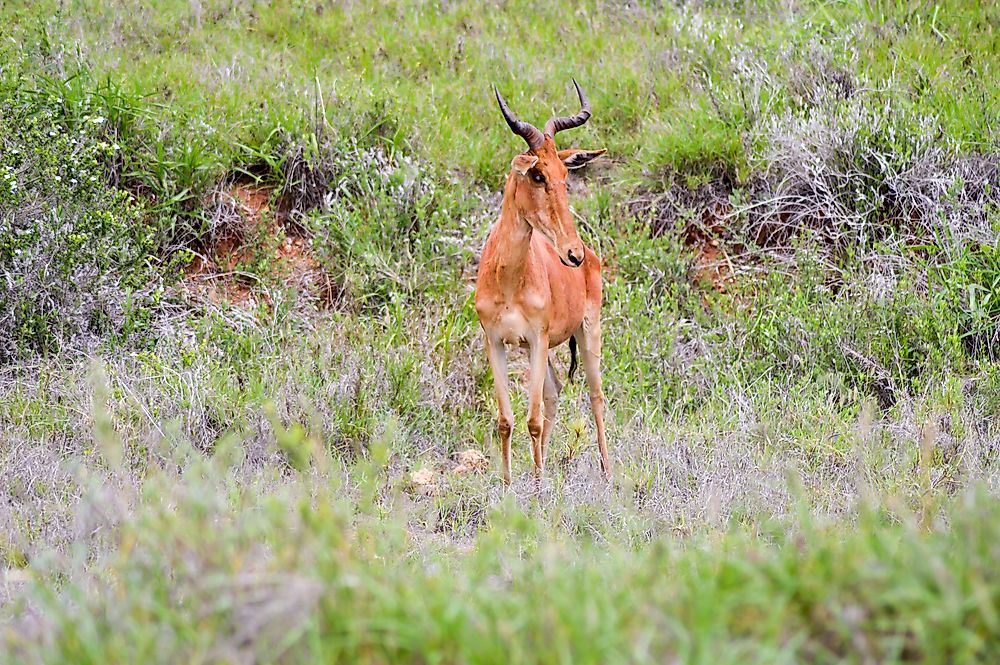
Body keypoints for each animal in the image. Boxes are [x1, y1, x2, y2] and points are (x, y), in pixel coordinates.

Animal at [476, 80, 608, 482]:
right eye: (537, 175)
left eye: (566, 177)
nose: (573, 254)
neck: (509, 283)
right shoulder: (497, 342)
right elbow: (505, 420)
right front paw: (509, 485)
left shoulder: (536, 338)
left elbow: (531, 420)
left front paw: (537, 488)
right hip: (546, 348)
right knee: (555, 391)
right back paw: (541, 469)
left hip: (587, 330)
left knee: (595, 396)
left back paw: (608, 474)